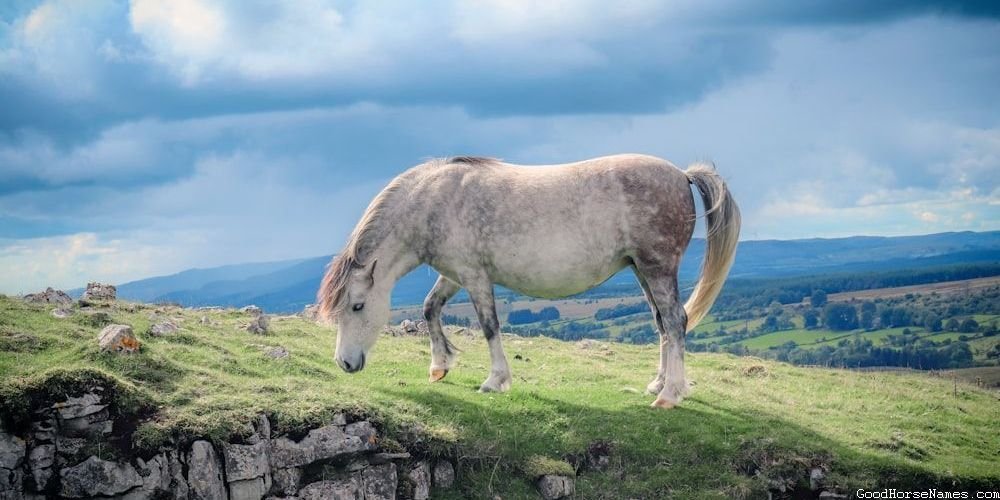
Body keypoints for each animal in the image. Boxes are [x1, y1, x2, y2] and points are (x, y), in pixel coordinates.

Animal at [316, 154, 740, 408]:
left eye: (357, 306)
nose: (345, 363)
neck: (433, 203)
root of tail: (682, 175)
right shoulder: (454, 274)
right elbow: (429, 309)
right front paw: (439, 366)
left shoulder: (475, 276)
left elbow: (489, 327)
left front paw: (495, 380)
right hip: (641, 270)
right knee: (663, 324)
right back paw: (658, 384)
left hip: (657, 268)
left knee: (676, 322)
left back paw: (670, 395)